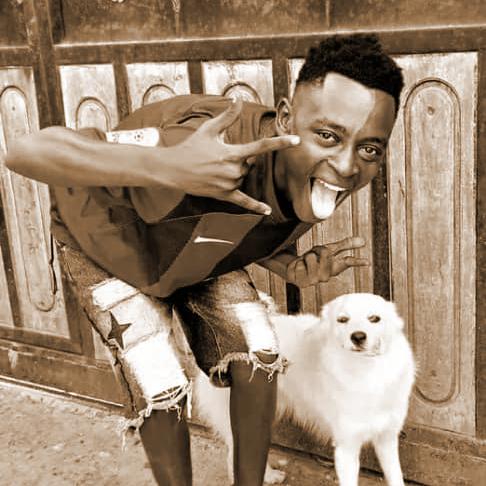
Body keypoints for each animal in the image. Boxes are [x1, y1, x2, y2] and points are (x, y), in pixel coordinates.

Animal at [193, 293, 415, 486]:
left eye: (374, 318)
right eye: (342, 320)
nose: (358, 336)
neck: (366, 370)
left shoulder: (387, 438)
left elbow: (396, 477)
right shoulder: (347, 447)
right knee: (235, 453)